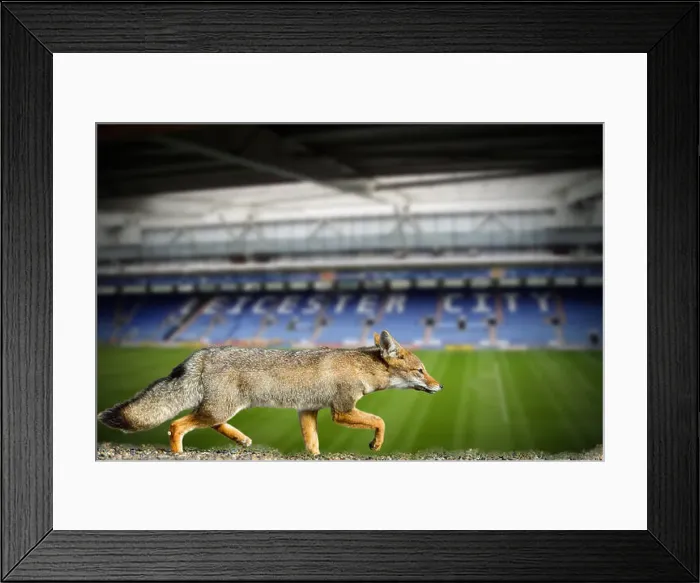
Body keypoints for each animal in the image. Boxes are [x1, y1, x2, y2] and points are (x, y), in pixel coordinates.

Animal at [97, 330, 442, 455]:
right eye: (421, 370)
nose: (441, 386)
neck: (362, 366)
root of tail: (200, 353)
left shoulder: (308, 411)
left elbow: (312, 444)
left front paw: (315, 458)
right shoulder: (342, 410)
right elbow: (381, 420)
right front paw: (376, 443)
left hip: (224, 407)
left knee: (207, 422)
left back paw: (241, 440)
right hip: (221, 407)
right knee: (177, 424)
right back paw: (179, 453)